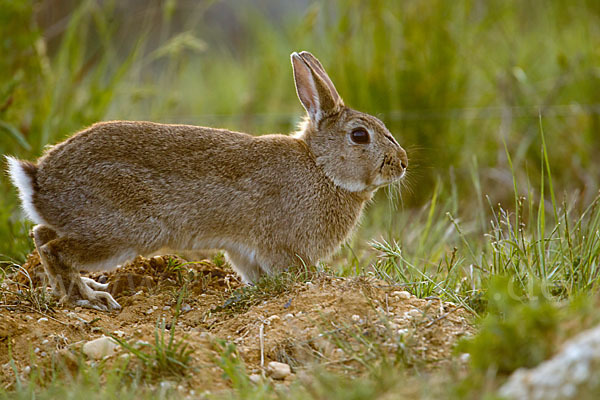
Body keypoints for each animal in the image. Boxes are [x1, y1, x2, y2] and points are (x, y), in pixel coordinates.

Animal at [4, 51, 408, 310]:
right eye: (359, 136)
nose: (401, 163)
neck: (321, 168)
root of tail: (40, 180)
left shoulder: (244, 251)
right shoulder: (282, 246)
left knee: (41, 235)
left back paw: (85, 287)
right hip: (121, 230)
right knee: (53, 247)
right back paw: (88, 298)